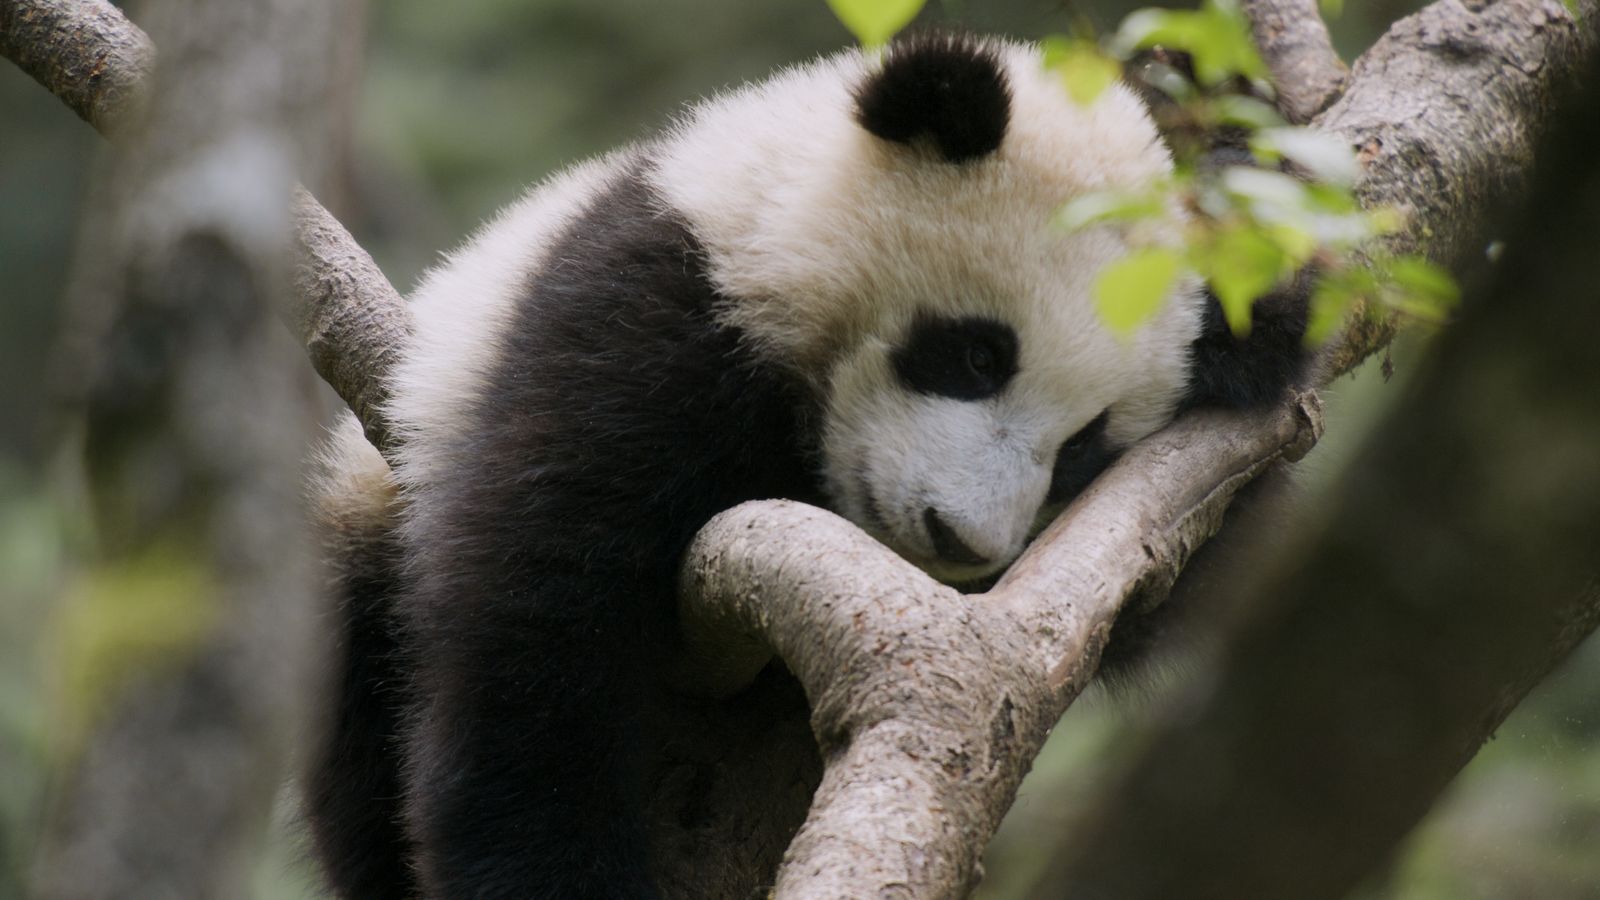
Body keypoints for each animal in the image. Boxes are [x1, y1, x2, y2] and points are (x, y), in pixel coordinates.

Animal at [303, 32, 1306, 900]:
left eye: (1084, 448)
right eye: (978, 354)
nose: (960, 538)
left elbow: (1132, 601)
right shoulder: (653, 305)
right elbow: (543, 600)